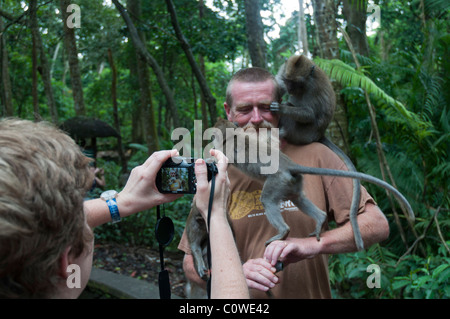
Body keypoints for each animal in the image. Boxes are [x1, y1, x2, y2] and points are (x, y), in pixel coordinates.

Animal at [268, 54, 364, 250]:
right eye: (288, 81)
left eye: (295, 83)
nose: (290, 88)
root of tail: (319, 135)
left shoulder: (312, 88)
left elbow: (309, 114)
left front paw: (282, 107)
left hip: (303, 134)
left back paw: (281, 130)